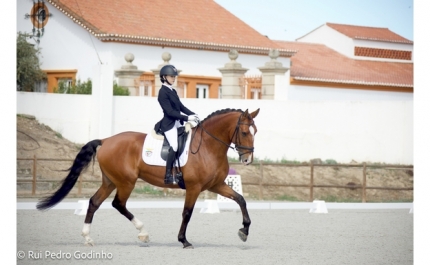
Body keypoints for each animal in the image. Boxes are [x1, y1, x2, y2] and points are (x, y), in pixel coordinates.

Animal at [36, 107, 258, 248]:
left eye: (255, 131)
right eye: (244, 132)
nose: (247, 160)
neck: (208, 147)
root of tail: (106, 140)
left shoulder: (216, 185)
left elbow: (241, 199)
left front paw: (244, 231)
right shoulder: (194, 187)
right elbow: (187, 213)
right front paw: (183, 240)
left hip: (110, 181)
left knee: (94, 202)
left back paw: (88, 238)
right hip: (126, 182)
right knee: (118, 204)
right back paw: (143, 233)